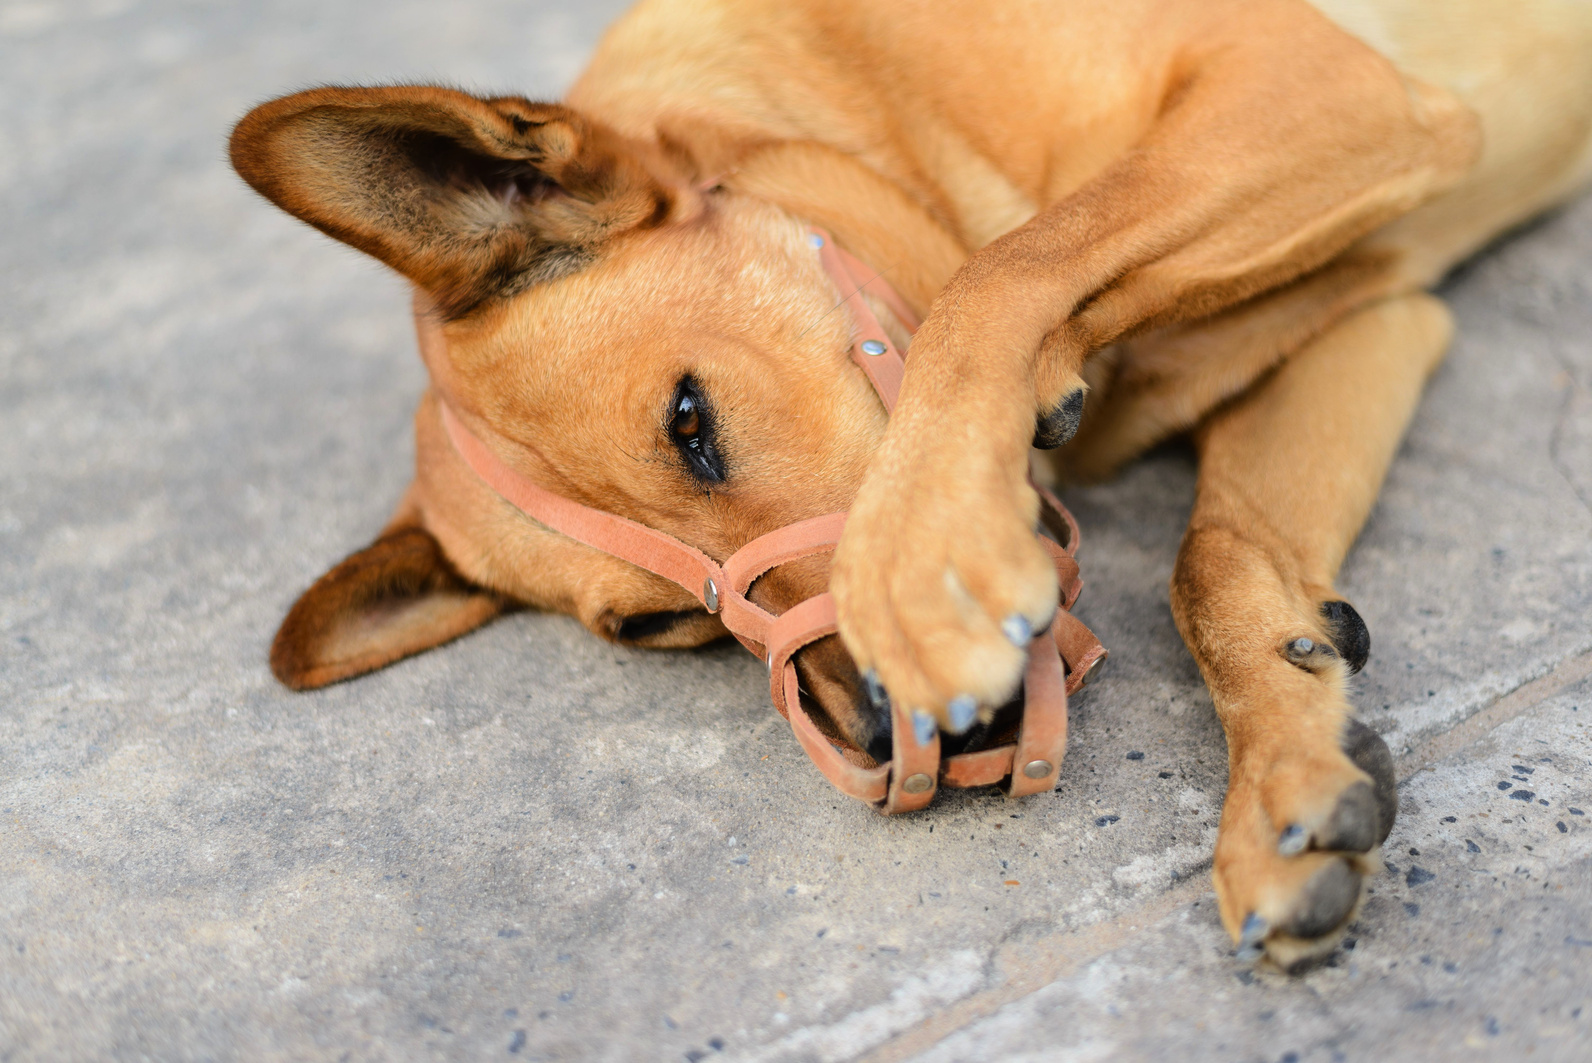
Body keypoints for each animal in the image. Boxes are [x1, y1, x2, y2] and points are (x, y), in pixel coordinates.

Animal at [230, 0, 1592, 967]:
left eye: (689, 421)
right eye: (658, 627)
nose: (895, 738)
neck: (856, 102)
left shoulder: (1319, 85)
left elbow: (1002, 269)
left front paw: (922, 573)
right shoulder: (1368, 320)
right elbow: (1213, 560)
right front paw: (1285, 781)